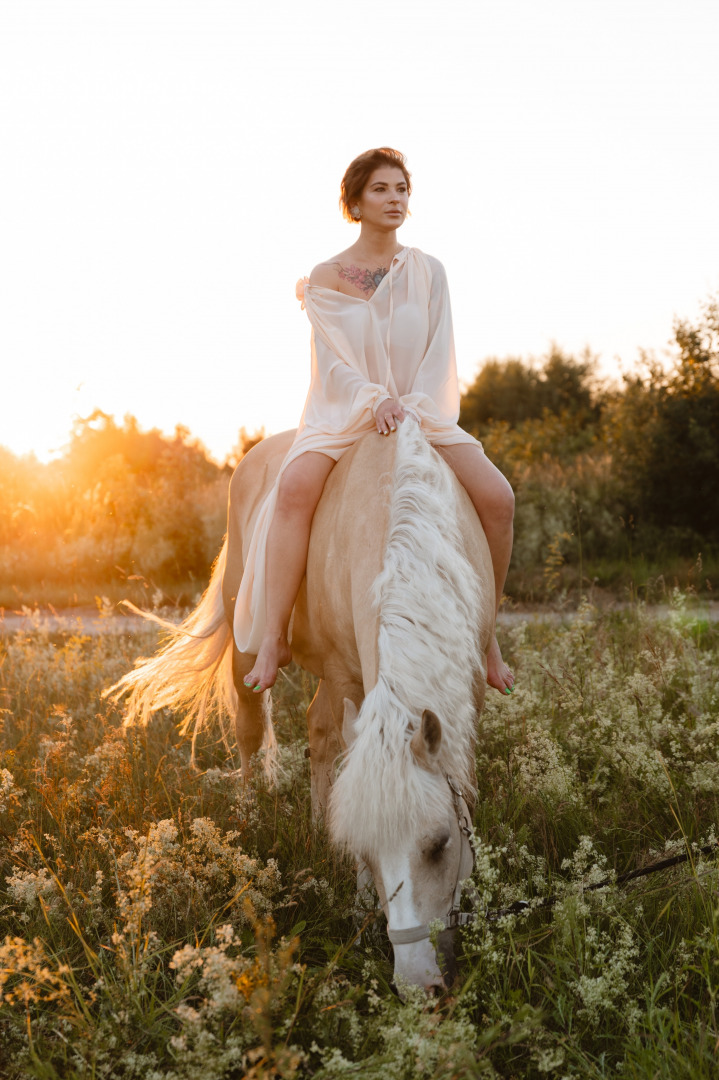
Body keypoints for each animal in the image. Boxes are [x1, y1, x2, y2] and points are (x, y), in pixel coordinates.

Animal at [109, 416, 496, 989]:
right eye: (366, 853)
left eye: (439, 844)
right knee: (255, 729)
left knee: (318, 736)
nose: (417, 984)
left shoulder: (465, 688)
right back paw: (250, 814)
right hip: (250, 644)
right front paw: (360, 898)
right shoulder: (348, 677)